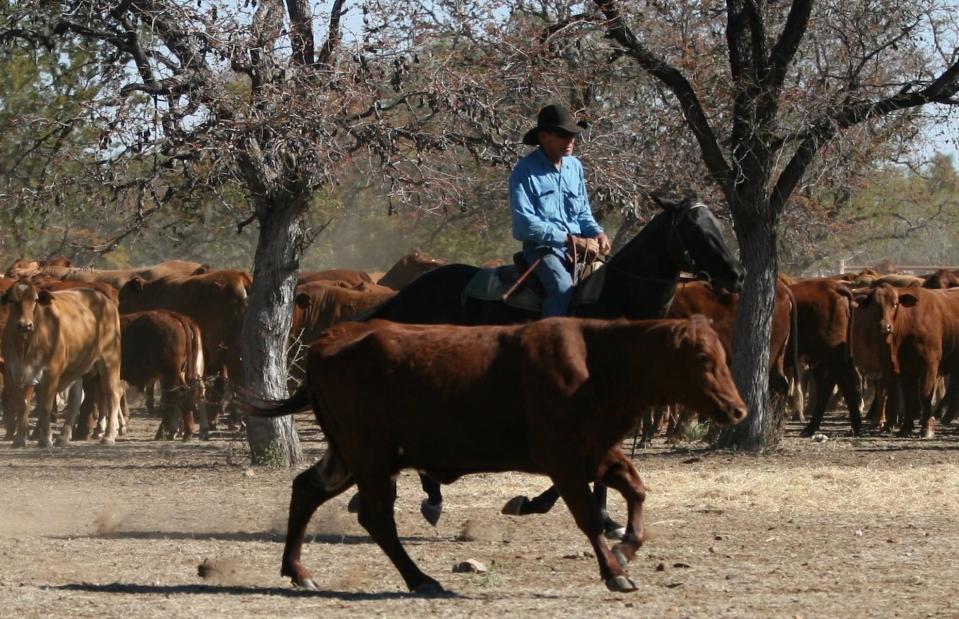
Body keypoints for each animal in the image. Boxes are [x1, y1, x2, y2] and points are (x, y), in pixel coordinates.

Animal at [0, 280, 123, 446]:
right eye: (12, 300)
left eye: (35, 300)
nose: (25, 325)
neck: (26, 345)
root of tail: (105, 300)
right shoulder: (18, 372)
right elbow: (23, 405)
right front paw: (19, 438)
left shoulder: (52, 371)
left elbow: (45, 406)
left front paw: (45, 439)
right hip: (77, 368)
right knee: (76, 399)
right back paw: (64, 436)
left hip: (110, 359)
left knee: (113, 394)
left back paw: (108, 436)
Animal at [251, 320, 748, 596]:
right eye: (702, 358)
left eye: (723, 355)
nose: (737, 409)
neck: (599, 361)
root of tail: (329, 342)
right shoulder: (563, 460)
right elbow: (589, 516)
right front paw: (614, 571)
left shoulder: (596, 453)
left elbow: (635, 491)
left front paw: (625, 550)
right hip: (369, 455)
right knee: (375, 516)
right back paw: (421, 580)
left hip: (353, 456)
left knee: (308, 488)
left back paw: (298, 571)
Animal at [356, 195, 748, 536]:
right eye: (694, 227)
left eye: (717, 222)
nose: (736, 274)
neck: (614, 299)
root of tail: (407, 292)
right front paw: (534, 503)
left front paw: (604, 517)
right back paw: (429, 497)